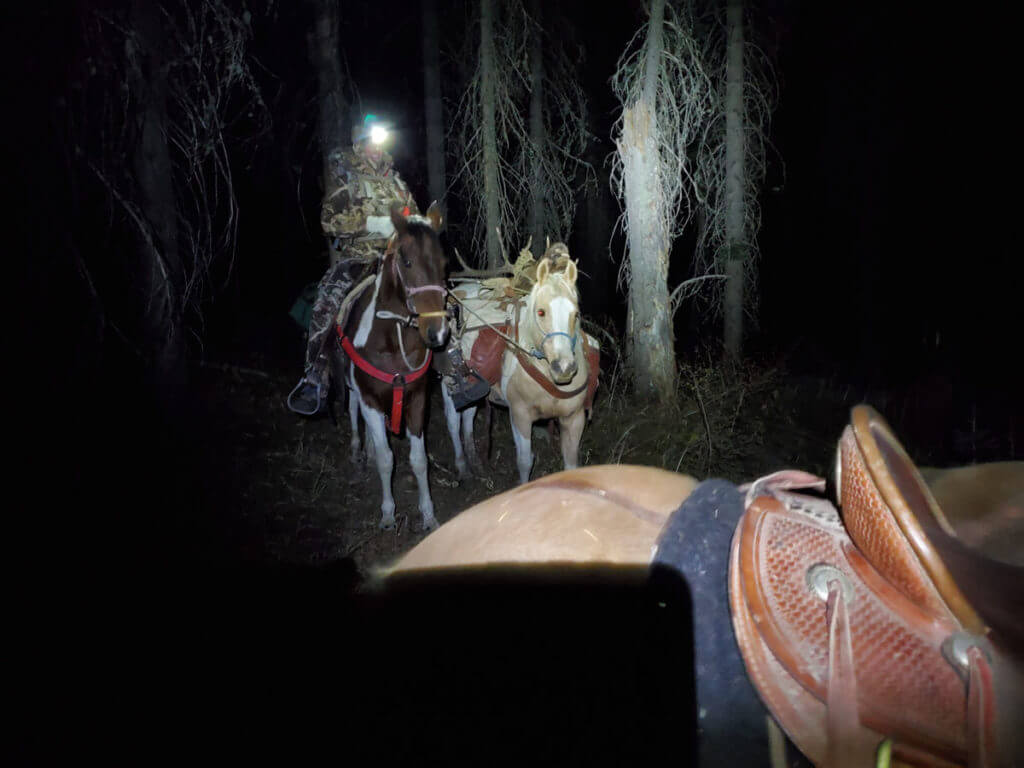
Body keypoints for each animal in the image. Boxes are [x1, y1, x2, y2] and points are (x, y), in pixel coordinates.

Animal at [331, 201, 448, 532]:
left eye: (444, 261)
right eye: (406, 261)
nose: (438, 333)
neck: (393, 340)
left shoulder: (418, 399)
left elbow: (419, 460)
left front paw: (428, 515)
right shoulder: (370, 399)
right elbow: (386, 459)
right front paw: (387, 514)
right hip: (353, 389)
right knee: (353, 410)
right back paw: (358, 450)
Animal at [442, 249, 598, 483]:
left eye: (576, 313)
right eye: (540, 312)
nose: (564, 368)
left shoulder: (573, 418)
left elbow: (571, 465)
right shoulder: (520, 415)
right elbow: (525, 461)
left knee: (468, 416)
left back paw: (476, 463)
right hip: (447, 380)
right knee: (452, 422)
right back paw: (462, 467)